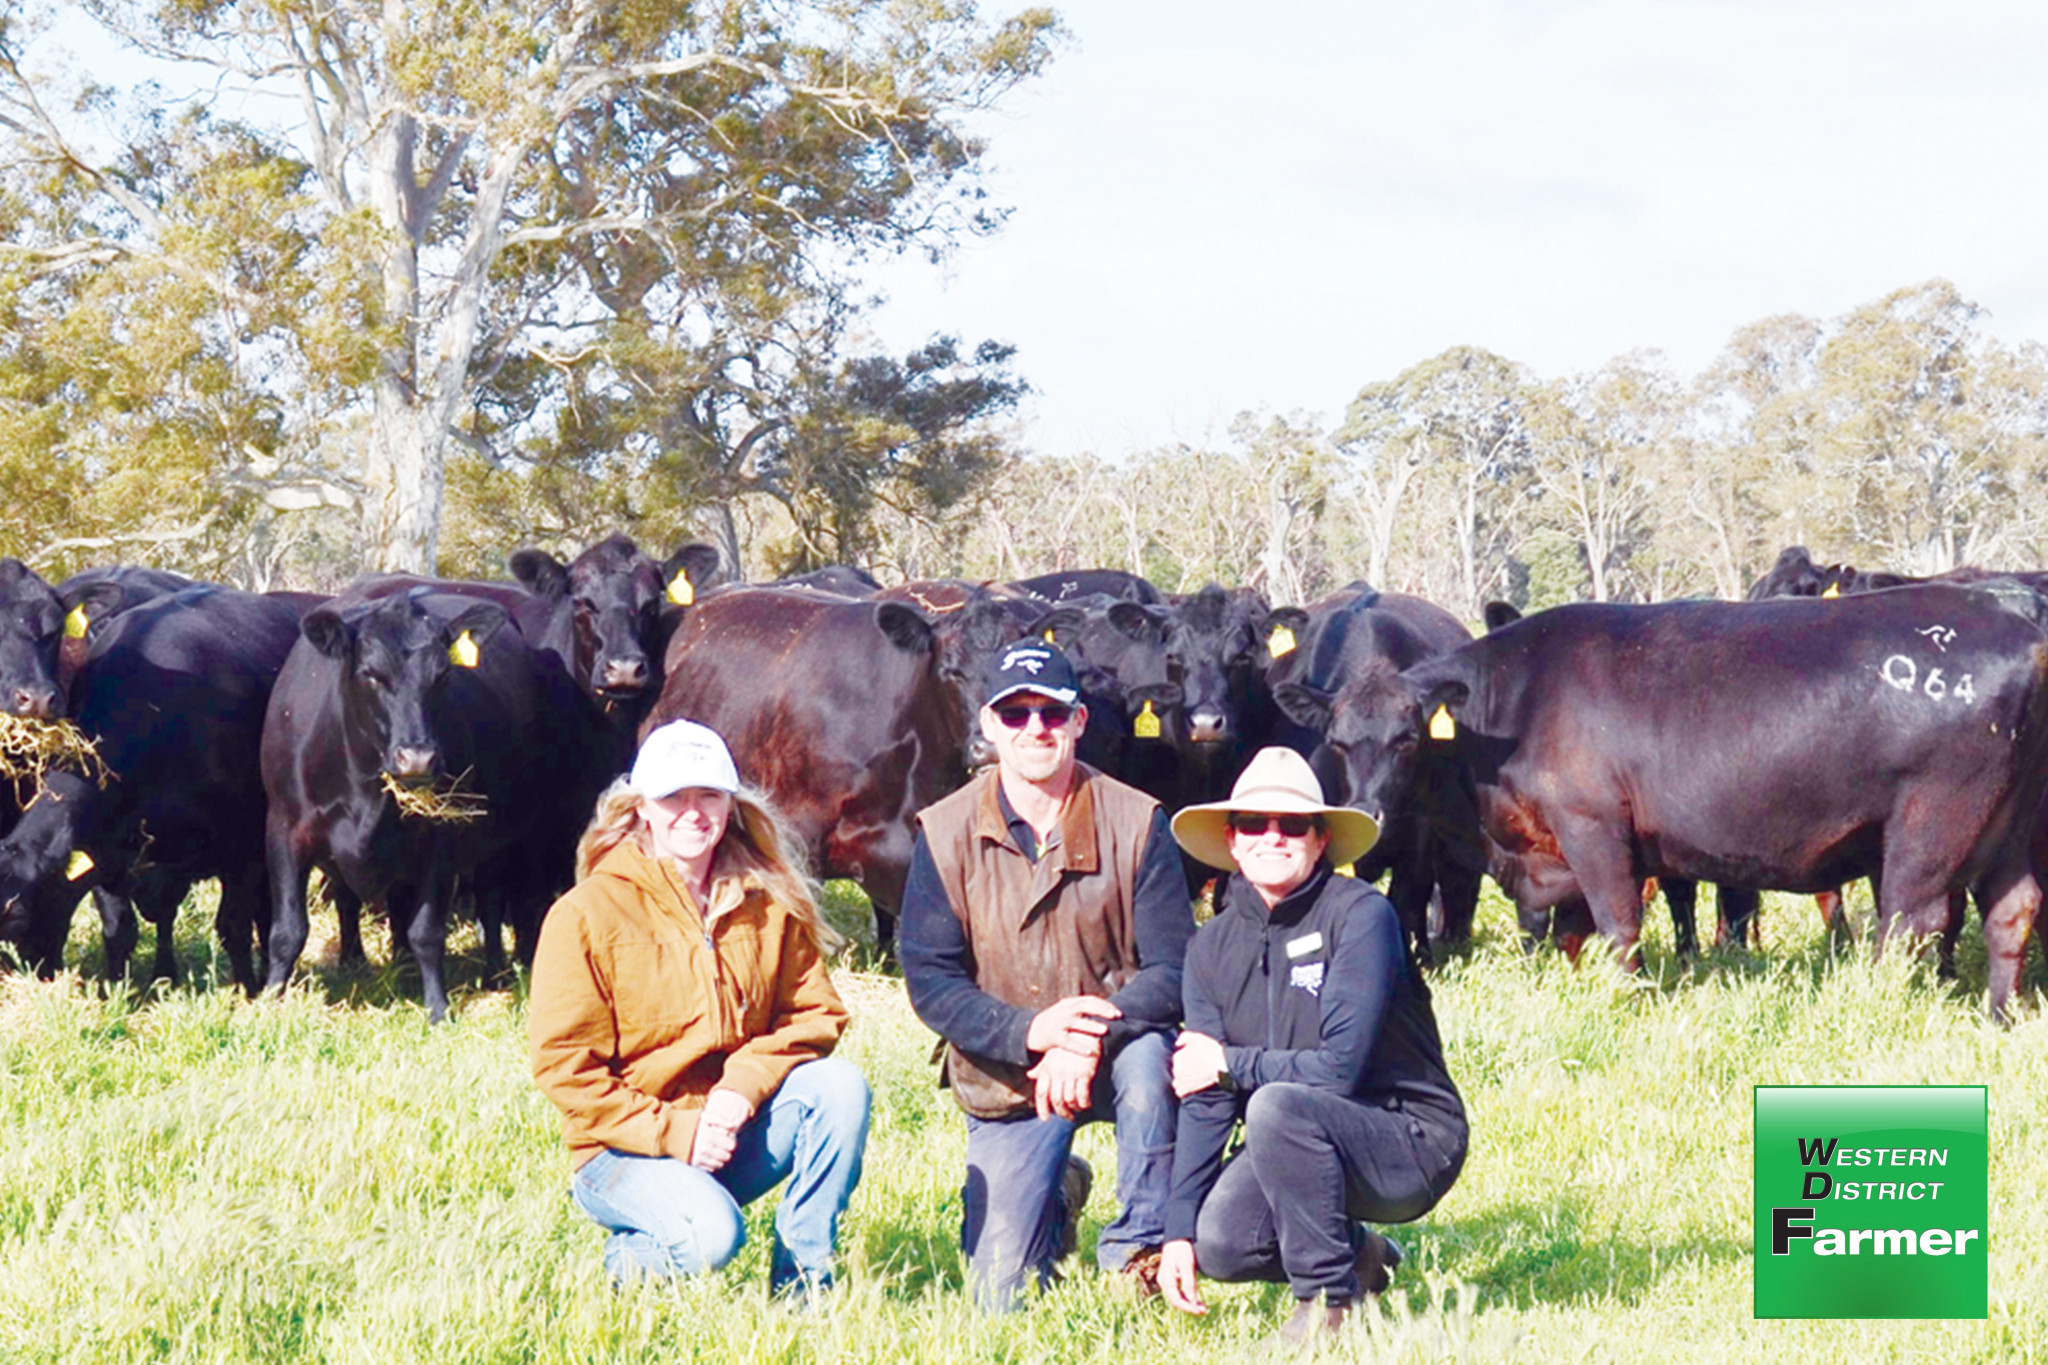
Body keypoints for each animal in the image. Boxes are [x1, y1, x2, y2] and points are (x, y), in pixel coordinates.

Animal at [0, 589, 303, 982]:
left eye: (16, 916)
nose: (31, 974)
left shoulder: (243, 843)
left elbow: (234, 927)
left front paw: (247, 989)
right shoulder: (107, 850)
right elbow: (119, 930)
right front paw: (116, 989)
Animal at [264, 593, 593, 1019]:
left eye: (442, 676)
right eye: (371, 674)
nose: (417, 759)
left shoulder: (440, 842)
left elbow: (427, 932)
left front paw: (437, 1008)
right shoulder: (284, 829)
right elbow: (287, 930)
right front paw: (269, 999)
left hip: (499, 839)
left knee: (489, 900)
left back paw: (493, 973)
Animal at [1310, 593, 2048, 1019]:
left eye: (1407, 738)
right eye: (1337, 742)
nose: (1369, 812)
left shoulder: (1594, 830)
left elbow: (1617, 923)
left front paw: (1628, 999)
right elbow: (1572, 933)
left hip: (1930, 831)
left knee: (1910, 924)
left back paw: (1878, 1009)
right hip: (2010, 834)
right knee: (2011, 914)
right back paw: (2001, 1016)